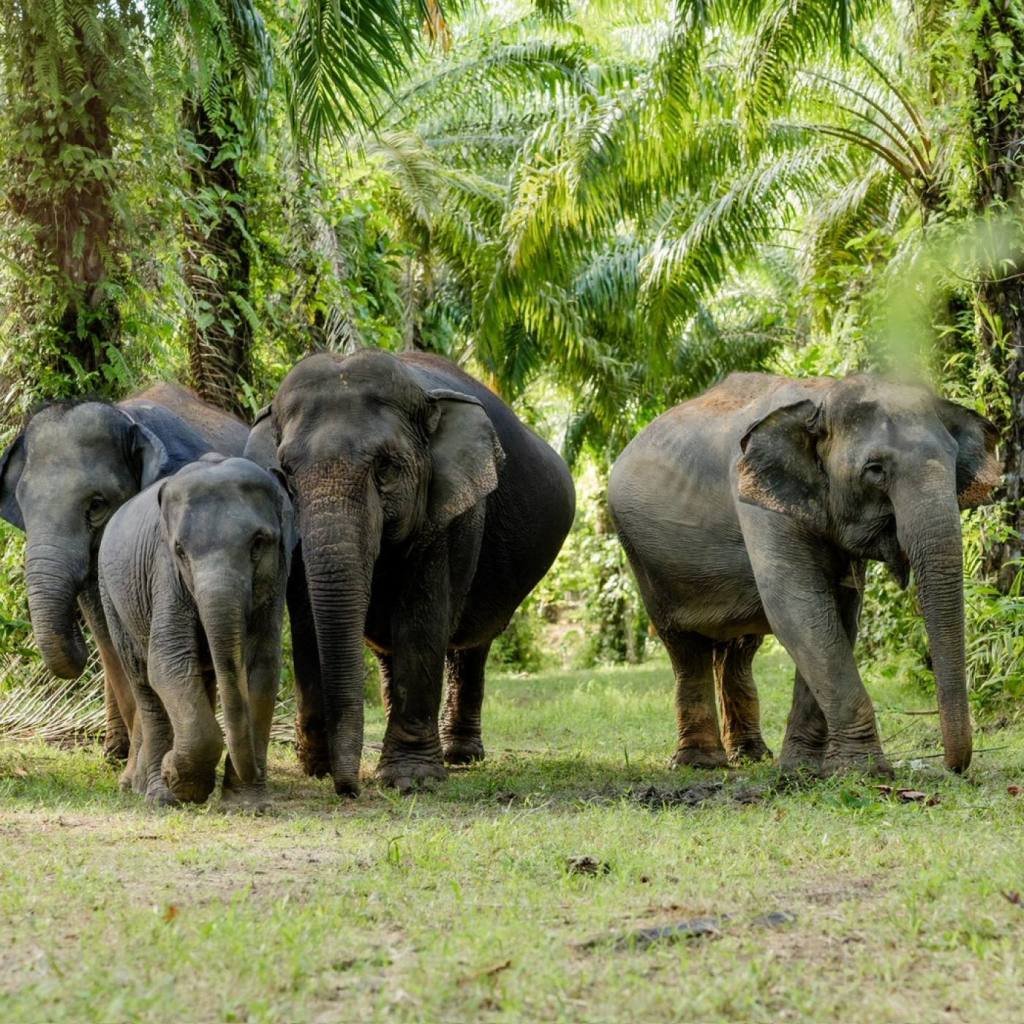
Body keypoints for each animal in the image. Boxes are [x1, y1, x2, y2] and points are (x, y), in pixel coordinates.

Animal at [0, 383, 249, 760]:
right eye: (23, 504)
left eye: (96, 505)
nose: (77, 641)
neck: (129, 419)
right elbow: (107, 629)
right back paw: (115, 750)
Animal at [98, 455, 295, 808]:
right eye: (180, 551)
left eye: (259, 543)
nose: (253, 772)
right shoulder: (164, 575)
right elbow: (168, 663)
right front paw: (179, 782)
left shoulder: (276, 582)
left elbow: (263, 667)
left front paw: (247, 806)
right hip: (112, 598)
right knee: (143, 681)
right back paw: (154, 794)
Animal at [245, 348, 575, 796]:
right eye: (287, 472)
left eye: (385, 467)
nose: (349, 788)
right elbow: (307, 618)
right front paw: (318, 767)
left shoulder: (452, 512)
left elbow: (421, 617)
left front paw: (411, 780)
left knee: (474, 644)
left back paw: (462, 757)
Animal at [608, 373, 999, 776]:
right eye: (874, 469)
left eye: (954, 463)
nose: (953, 768)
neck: (823, 396)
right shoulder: (759, 504)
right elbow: (799, 609)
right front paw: (864, 772)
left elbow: (837, 616)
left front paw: (803, 769)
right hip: (644, 558)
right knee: (685, 646)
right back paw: (700, 764)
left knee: (738, 650)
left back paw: (750, 756)